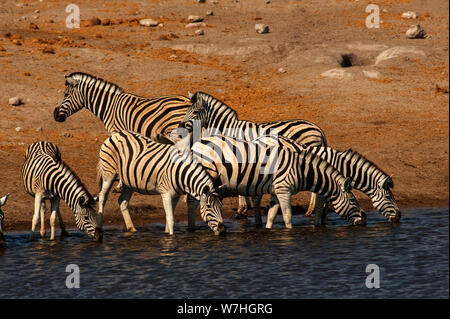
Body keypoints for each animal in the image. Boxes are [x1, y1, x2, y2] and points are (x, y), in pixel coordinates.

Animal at [97, 131, 227, 238]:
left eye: (221, 206)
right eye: (209, 206)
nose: (222, 230)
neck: (180, 174)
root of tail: (117, 134)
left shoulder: (176, 195)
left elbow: (169, 217)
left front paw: (167, 233)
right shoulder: (166, 194)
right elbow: (170, 218)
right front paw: (171, 238)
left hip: (129, 181)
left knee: (123, 201)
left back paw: (132, 229)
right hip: (109, 173)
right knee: (103, 197)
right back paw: (99, 227)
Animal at [178, 91, 328, 219]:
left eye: (195, 112)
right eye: (187, 111)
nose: (180, 129)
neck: (227, 129)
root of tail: (317, 128)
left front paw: (242, 209)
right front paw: (244, 206)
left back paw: (310, 210)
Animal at [181, 134, 368, 229]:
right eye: (353, 200)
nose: (364, 220)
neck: (301, 169)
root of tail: (197, 143)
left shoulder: (276, 191)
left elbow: (271, 215)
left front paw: (269, 231)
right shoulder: (284, 190)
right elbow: (287, 216)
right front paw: (289, 234)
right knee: (191, 201)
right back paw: (191, 228)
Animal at [253, 136, 400, 224]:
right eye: (388, 197)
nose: (399, 217)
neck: (341, 166)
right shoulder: (326, 182)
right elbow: (320, 204)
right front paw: (318, 224)